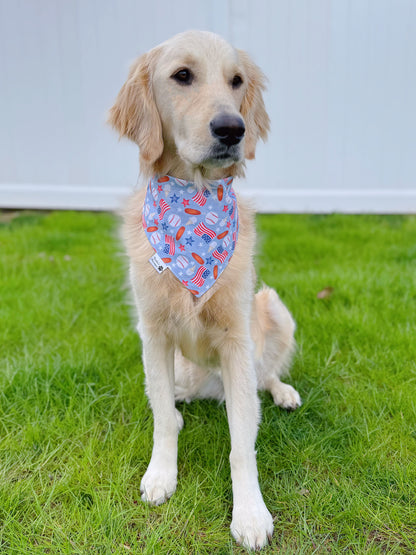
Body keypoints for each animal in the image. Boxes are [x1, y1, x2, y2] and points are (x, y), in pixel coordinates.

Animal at [109, 30, 300, 552]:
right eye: (182, 76)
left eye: (236, 81)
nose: (232, 129)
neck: (192, 205)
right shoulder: (153, 333)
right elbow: (159, 416)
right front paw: (161, 475)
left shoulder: (236, 339)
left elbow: (242, 446)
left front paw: (250, 514)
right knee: (171, 401)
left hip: (273, 308)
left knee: (262, 380)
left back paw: (283, 392)